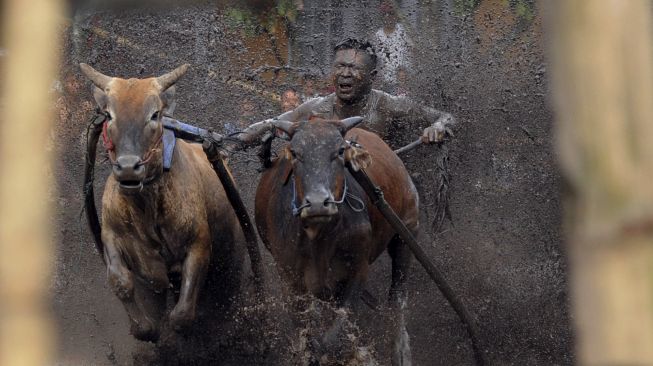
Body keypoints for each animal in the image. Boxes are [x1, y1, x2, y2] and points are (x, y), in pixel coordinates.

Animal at [79, 63, 244, 344]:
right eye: (109, 115)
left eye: (154, 114)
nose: (128, 168)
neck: (146, 209)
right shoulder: (111, 233)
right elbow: (121, 281)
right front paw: (143, 328)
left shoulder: (199, 244)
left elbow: (182, 315)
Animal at [255, 118, 418, 364]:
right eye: (295, 152)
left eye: (340, 151)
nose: (317, 203)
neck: (320, 237)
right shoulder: (290, 280)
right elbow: (307, 339)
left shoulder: (357, 271)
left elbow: (333, 340)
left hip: (406, 231)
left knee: (397, 298)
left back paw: (400, 352)